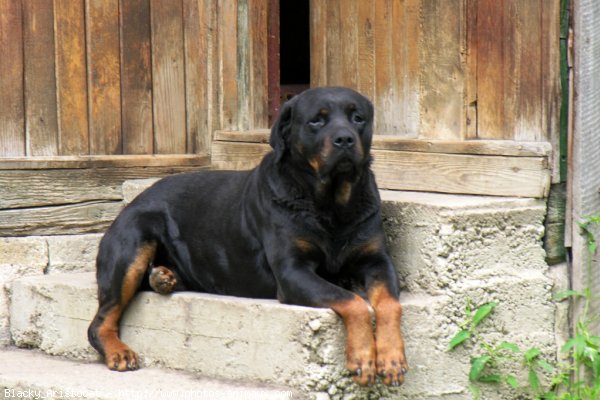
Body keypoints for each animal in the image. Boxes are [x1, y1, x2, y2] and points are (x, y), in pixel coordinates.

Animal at [88, 86, 408, 386]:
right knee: (100, 321)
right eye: (317, 120)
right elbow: (352, 301)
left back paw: (163, 277)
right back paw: (119, 351)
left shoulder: (376, 261)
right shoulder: (293, 273)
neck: (332, 205)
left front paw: (391, 359)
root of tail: (132, 201)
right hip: (132, 244)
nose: (345, 139)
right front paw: (364, 358)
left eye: (358, 118)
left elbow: (390, 303)